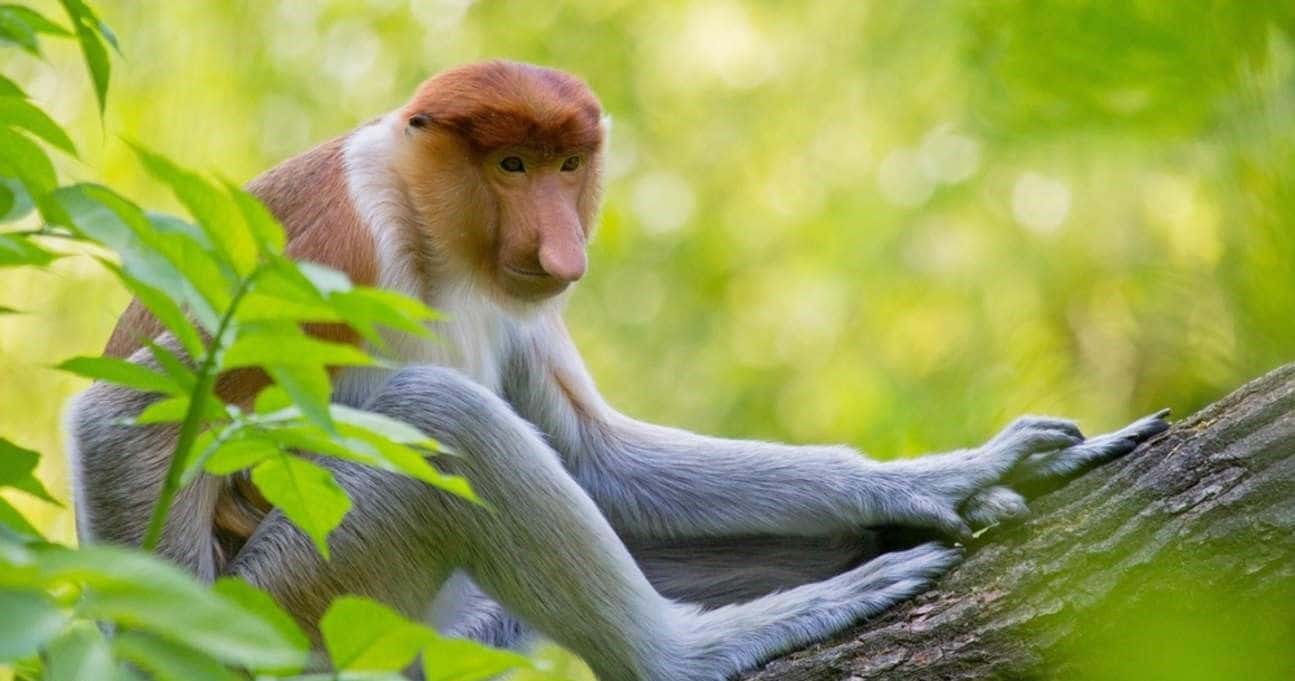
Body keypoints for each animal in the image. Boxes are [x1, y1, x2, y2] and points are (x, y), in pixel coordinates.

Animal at [65, 61, 1169, 680]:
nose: (560, 246)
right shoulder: (325, 252)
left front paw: (951, 473)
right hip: (309, 602)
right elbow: (122, 413)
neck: (427, 229)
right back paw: (689, 652)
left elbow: (592, 454)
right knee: (443, 422)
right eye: (508, 166)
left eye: (565, 167)